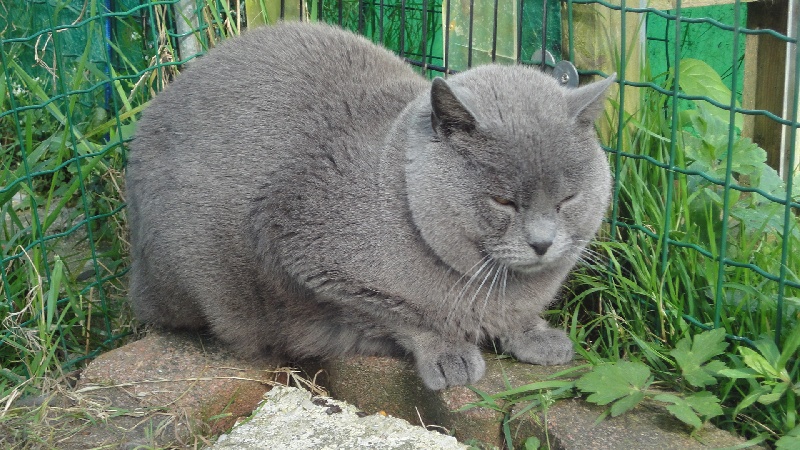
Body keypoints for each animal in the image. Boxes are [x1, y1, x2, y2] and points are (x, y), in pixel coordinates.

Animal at [126, 22, 612, 390]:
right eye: (503, 201)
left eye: (568, 199)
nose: (543, 243)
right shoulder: (301, 252)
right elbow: (399, 312)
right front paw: (450, 355)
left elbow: (515, 319)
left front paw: (534, 337)